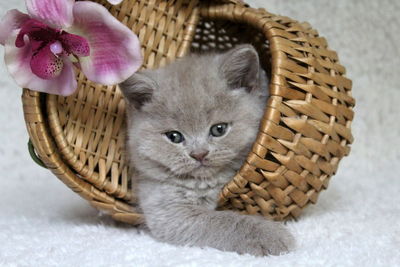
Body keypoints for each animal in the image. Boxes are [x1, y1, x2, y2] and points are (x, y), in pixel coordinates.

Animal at [119, 45, 294, 256]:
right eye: (174, 136)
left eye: (219, 129)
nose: (199, 154)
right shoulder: (170, 209)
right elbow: (222, 221)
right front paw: (272, 235)